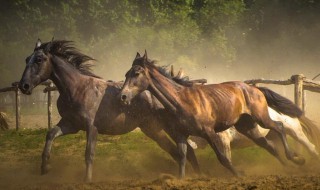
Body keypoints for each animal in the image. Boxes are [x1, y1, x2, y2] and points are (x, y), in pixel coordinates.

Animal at [17, 39, 200, 182]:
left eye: (39, 59)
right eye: (26, 59)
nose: (23, 86)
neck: (77, 89)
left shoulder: (92, 127)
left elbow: (89, 154)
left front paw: (87, 180)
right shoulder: (70, 124)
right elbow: (51, 134)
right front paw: (45, 168)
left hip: (170, 127)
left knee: (185, 150)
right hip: (153, 129)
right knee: (176, 151)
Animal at [119, 51, 304, 177]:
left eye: (137, 73)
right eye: (126, 74)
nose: (123, 96)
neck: (182, 101)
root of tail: (254, 88)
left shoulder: (209, 132)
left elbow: (223, 158)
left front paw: (239, 175)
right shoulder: (180, 135)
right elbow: (183, 157)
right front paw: (181, 179)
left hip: (261, 118)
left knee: (279, 127)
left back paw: (295, 158)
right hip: (247, 127)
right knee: (269, 146)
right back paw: (288, 166)